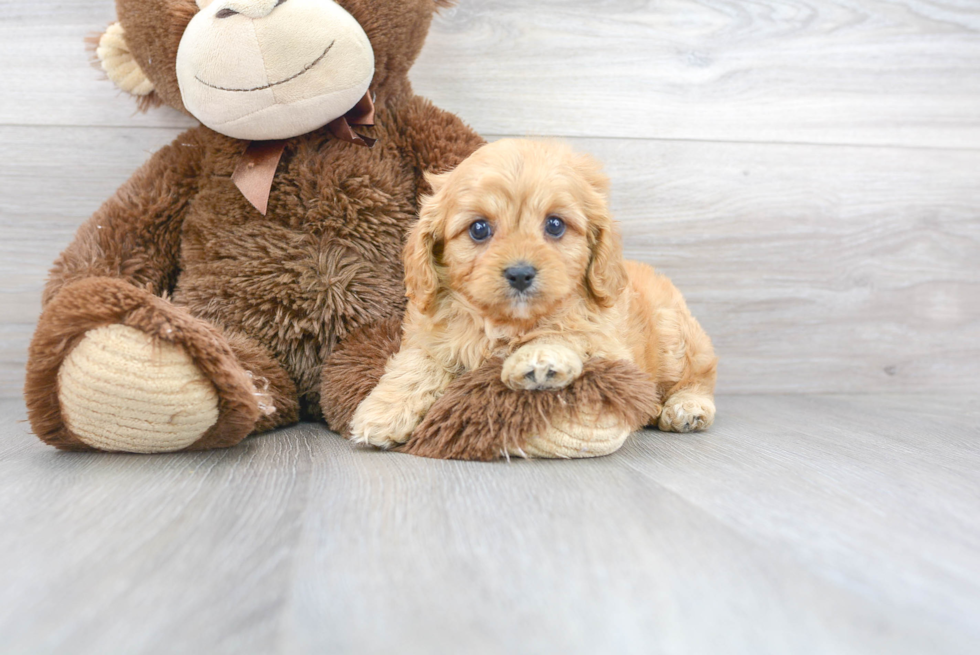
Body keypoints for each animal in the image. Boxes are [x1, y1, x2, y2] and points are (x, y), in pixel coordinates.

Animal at [348, 138, 716, 452]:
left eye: (555, 225)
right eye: (479, 229)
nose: (520, 274)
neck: (506, 322)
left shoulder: (608, 344)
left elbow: (568, 332)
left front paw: (540, 357)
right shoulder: (427, 335)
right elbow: (416, 365)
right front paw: (383, 413)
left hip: (675, 338)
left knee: (700, 376)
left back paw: (687, 407)